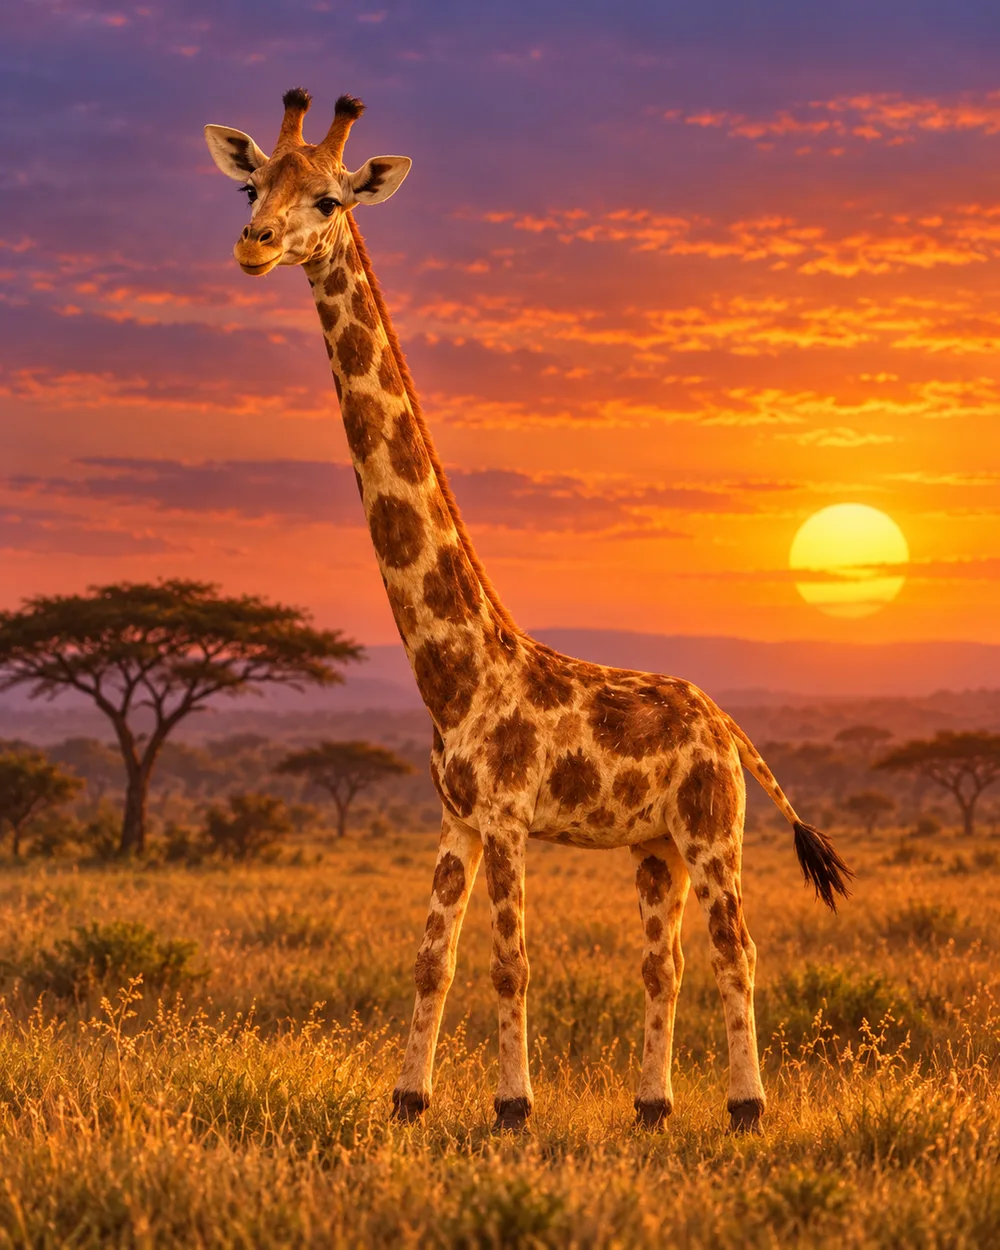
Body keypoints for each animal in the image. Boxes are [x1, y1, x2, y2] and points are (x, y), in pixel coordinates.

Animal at [204, 90, 853, 1134]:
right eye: (250, 185)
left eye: (333, 200)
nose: (253, 246)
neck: (457, 670)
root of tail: (730, 726)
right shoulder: (458, 820)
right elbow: (432, 960)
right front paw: (409, 1099)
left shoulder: (508, 819)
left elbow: (510, 964)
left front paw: (513, 1106)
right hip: (654, 846)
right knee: (664, 962)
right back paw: (652, 1107)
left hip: (714, 830)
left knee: (736, 950)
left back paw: (747, 1108)